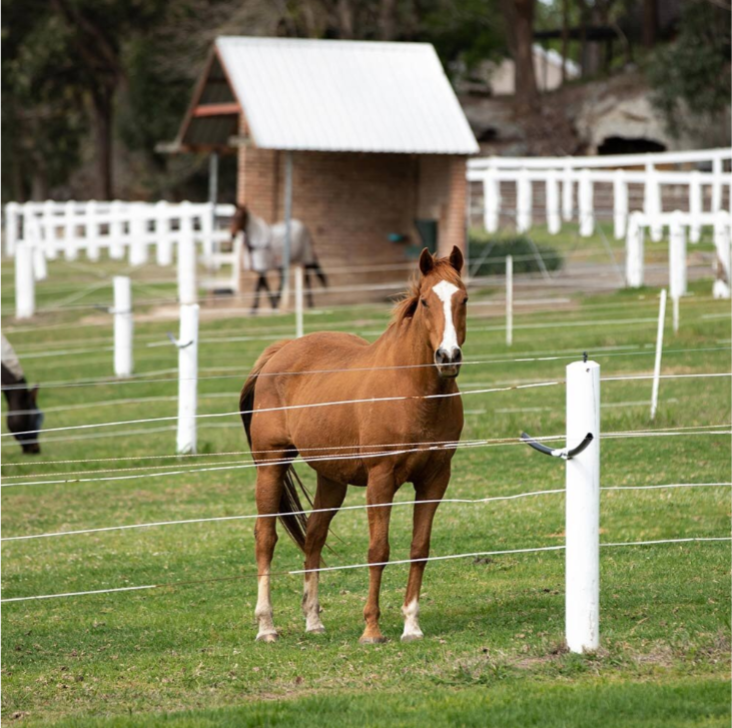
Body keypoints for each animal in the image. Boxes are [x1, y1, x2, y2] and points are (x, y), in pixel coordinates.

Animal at [243, 246, 466, 644]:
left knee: (314, 537)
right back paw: (267, 626)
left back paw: (313, 621)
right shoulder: (381, 480)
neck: (413, 391)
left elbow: (419, 549)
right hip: (270, 467)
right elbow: (379, 550)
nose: (448, 357)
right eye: (426, 301)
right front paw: (372, 629)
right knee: (265, 538)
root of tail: (279, 353)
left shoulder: (435, 480)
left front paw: (411, 625)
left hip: (332, 479)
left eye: (464, 299)